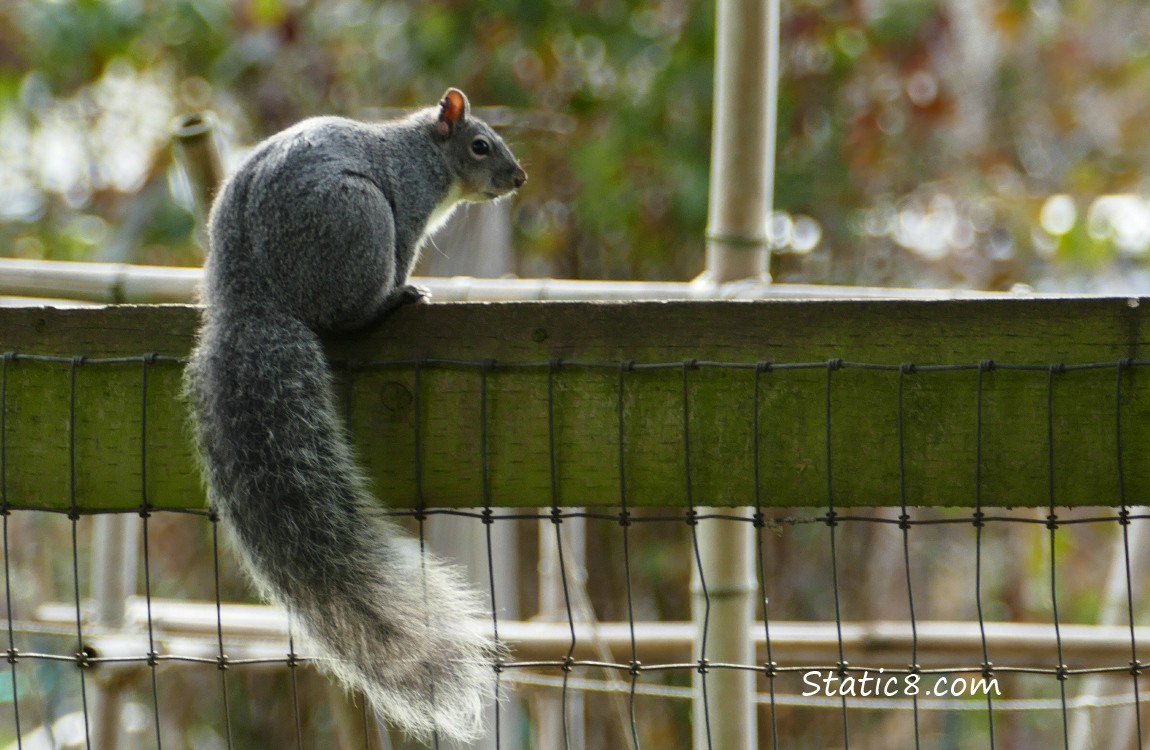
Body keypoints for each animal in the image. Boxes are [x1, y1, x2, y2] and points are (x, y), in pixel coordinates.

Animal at [186, 90, 526, 740]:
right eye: (481, 146)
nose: (518, 178)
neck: (422, 150)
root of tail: (247, 288)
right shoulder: (409, 210)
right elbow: (406, 250)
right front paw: (410, 284)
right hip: (358, 218)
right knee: (345, 313)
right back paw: (392, 301)